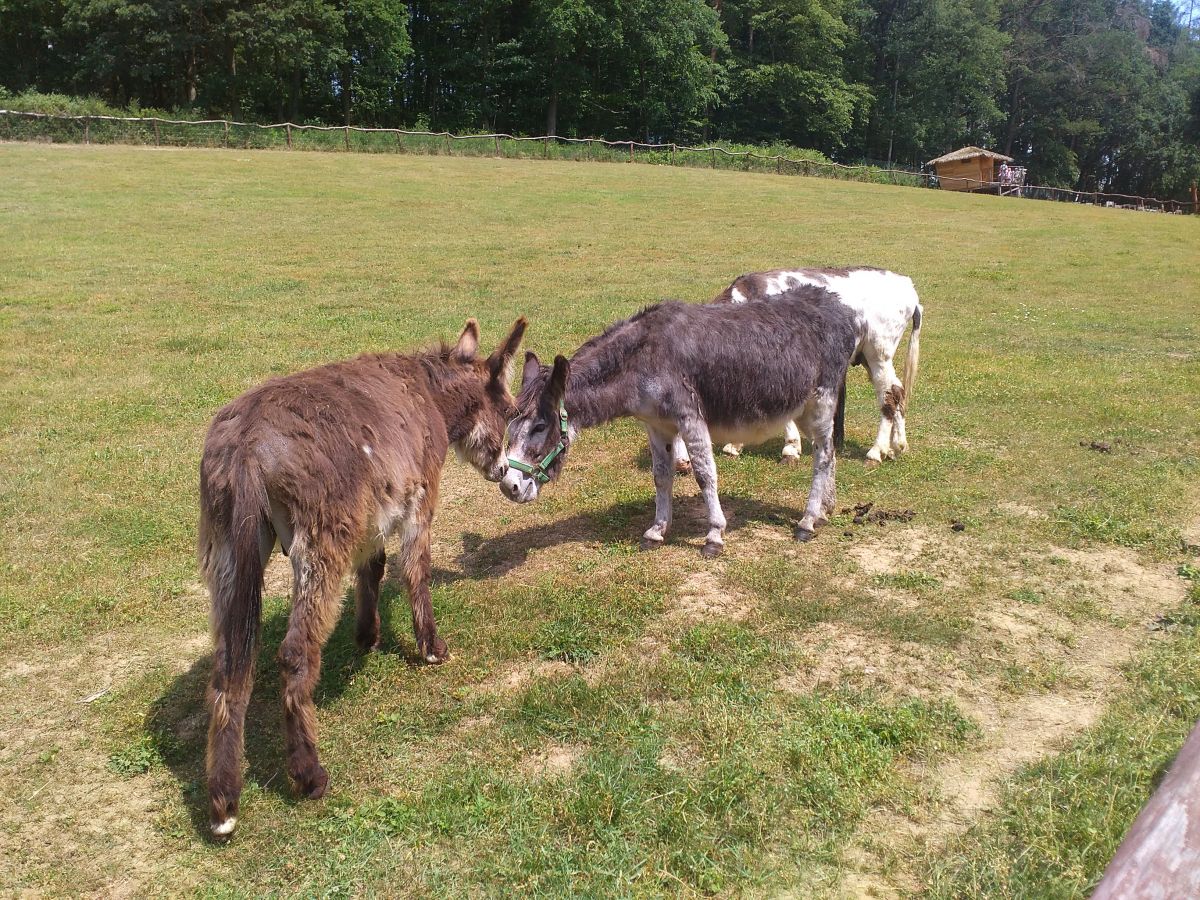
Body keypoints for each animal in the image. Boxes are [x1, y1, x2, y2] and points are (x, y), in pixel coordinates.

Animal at [198, 317, 526, 838]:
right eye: (511, 411)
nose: (505, 476)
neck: (429, 394)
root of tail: (248, 446)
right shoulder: (420, 498)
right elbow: (415, 571)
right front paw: (431, 648)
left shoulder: (375, 516)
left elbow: (374, 566)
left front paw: (367, 635)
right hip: (319, 547)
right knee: (294, 654)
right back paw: (309, 776)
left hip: (228, 552)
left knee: (229, 668)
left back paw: (224, 804)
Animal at [499, 286, 858, 556]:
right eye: (509, 428)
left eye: (539, 427)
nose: (508, 486)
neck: (640, 358)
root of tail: (838, 306)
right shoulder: (657, 425)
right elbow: (661, 476)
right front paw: (657, 531)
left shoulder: (690, 418)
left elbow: (704, 475)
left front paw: (714, 535)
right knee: (828, 453)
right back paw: (825, 510)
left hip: (821, 400)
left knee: (823, 455)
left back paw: (807, 521)